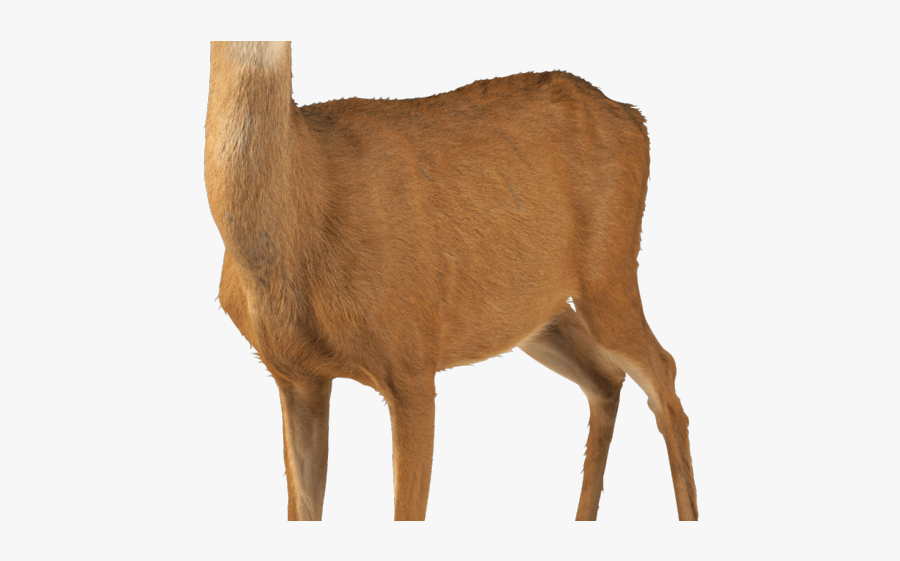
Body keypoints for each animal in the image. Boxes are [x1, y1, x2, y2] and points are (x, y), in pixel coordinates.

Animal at [204, 41, 697, 521]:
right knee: (604, 378)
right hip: (533, 311)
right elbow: (301, 509)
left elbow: (407, 511)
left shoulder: (412, 361)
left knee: (663, 370)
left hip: (609, 269)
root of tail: (633, 116)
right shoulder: (294, 376)